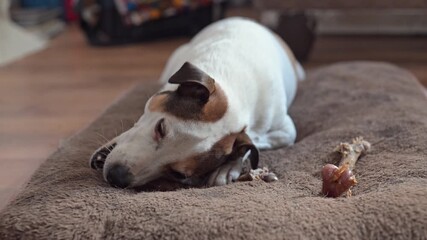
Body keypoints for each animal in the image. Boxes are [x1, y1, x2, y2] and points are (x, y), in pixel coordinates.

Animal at [89, 17, 304, 189]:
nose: (116, 177)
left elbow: (255, 139)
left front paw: (228, 166)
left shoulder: (286, 130)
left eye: (178, 174)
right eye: (161, 128)